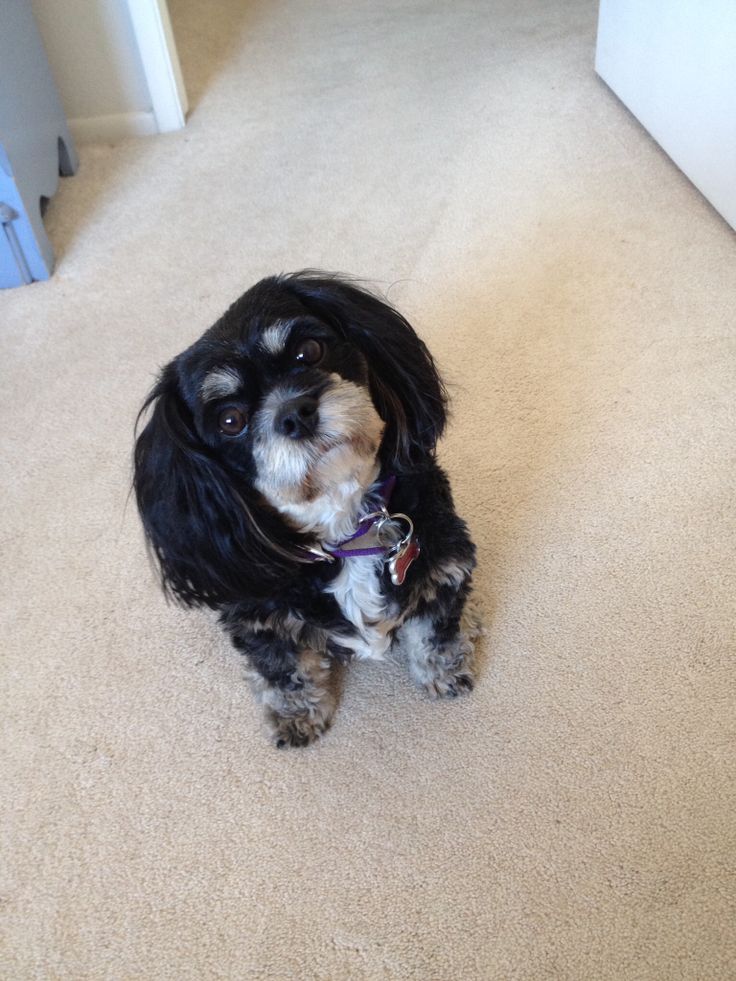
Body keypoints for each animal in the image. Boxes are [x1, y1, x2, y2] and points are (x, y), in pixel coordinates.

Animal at [134, 272, 478, 748]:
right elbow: (284, 671)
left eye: (308, 352)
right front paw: (295, 716)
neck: (345, 528)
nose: (295, 413)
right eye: (230, 420)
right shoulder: (260, 620)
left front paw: (445, 670)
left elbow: (435, 629)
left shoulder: (444, 561)